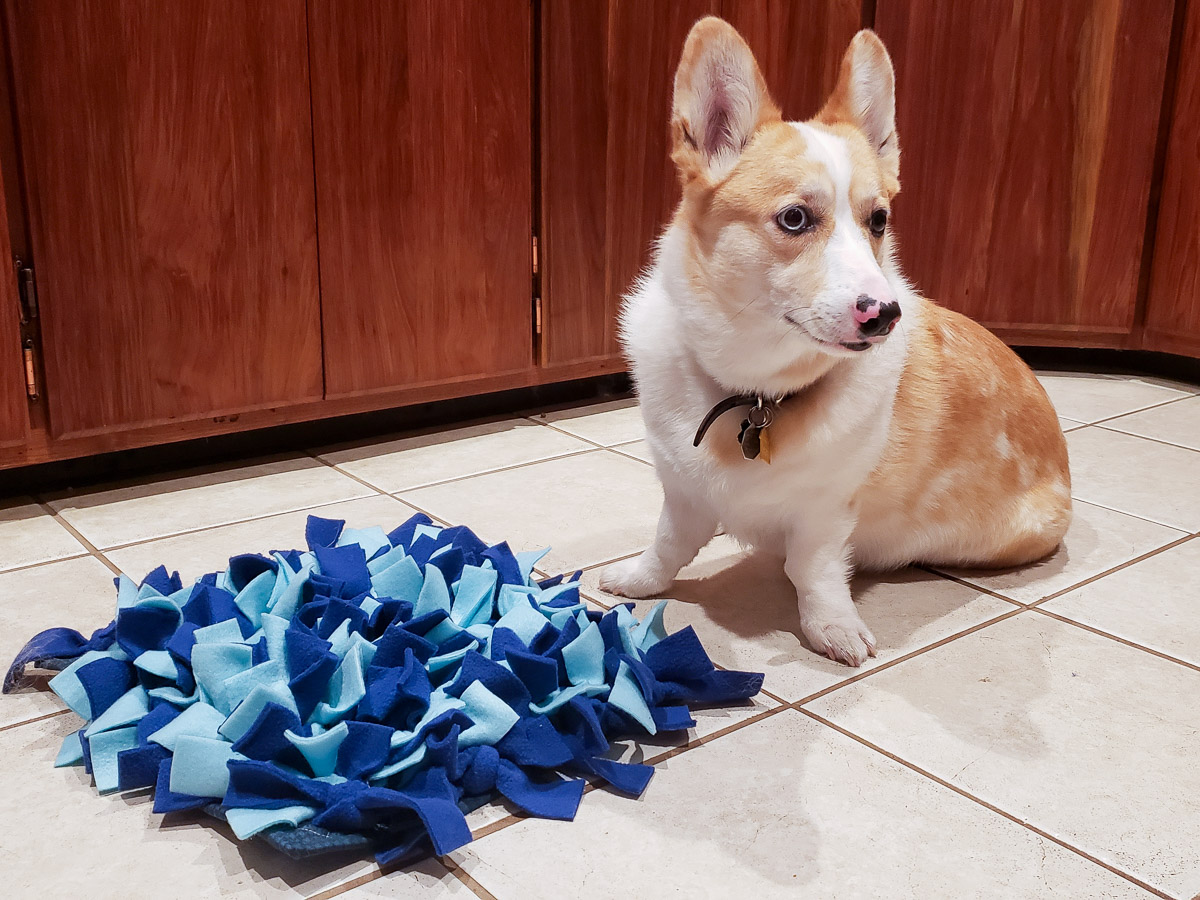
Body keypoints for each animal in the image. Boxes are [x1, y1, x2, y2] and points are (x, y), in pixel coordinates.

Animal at [600, 17, 1070, 672]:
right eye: (795, 219)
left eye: (879, 220)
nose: (886, 315)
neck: (754, 395)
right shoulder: (683, 492)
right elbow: (668, 544)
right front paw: (638, 582)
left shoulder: (826, 514)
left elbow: (814, 572)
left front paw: (832, 629)